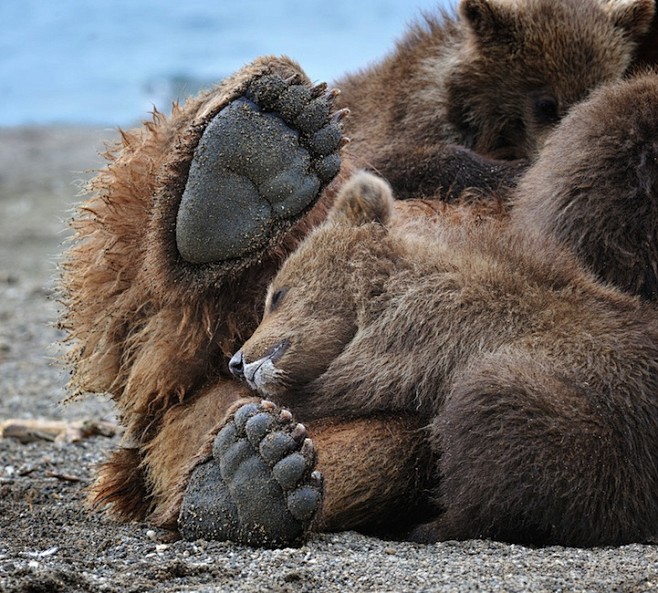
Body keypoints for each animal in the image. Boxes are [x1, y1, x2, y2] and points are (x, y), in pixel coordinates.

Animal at [217, 166, 658, 544]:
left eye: (277, 295)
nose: (236, 361)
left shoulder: (425, 333)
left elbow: (346, 389)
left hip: (602, 436)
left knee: (495, 413)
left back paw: (429, 525)